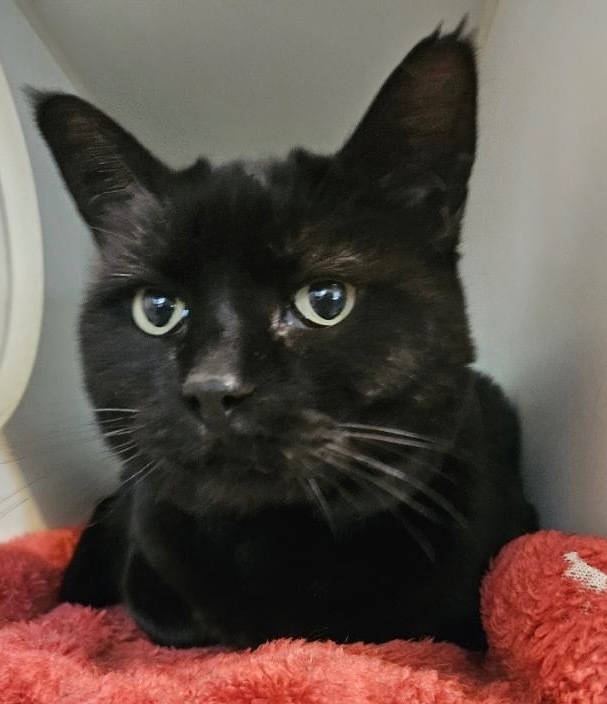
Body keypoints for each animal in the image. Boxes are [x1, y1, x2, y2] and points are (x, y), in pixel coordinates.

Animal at [35, 30, 536, 652]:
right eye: (157, 310)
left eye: (326, 300)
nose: (213, 387)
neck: (269, 550)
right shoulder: (149, 557)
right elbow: (171, 617)